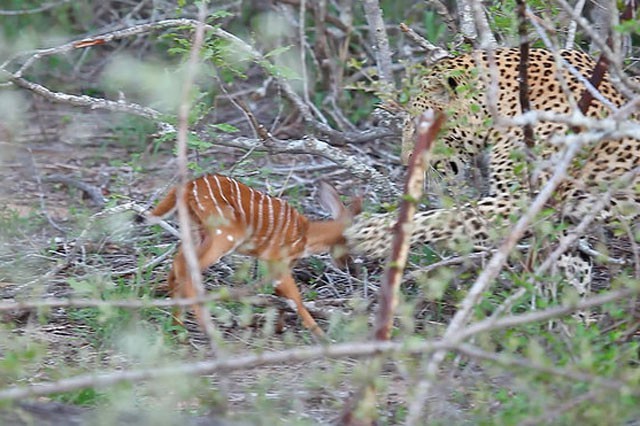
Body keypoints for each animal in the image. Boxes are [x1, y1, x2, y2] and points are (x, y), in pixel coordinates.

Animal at [348, 48, 640, 286]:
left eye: (418, 125)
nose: (404, 161)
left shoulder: (521, 201)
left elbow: (443, 218)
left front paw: (371, 234)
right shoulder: (563, 216)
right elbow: (573, 272)